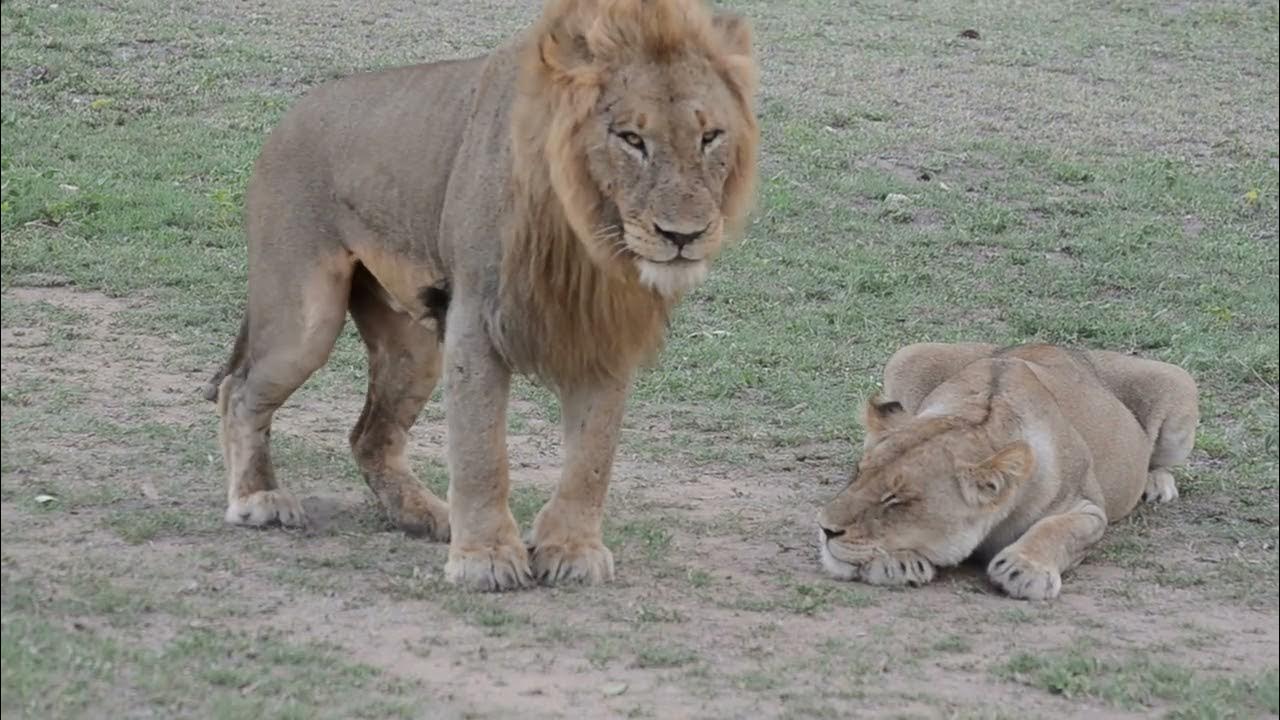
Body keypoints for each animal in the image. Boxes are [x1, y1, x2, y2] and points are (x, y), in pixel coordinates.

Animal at [203, 0, 759, 591]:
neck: (585, 232)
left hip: (414, 349)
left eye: (710, 137)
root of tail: (292, 114)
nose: (683, 236)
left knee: (369, 435)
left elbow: (593, 454)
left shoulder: (601, 329)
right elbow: (480, 449)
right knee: (239, 390)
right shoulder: (476, 320)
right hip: (305, 319)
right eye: (631, 139)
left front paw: (572, 549)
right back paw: (258, 498)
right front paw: (485, 557)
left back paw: (423, 513)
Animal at [817, 343, 1198, 600]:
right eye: (857, 474)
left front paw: (1025, 569)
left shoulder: (1088, 508)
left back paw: (1156, 484)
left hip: (1179, 383)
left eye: (896, 500)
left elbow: (1058, 529)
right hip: (908, 356)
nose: (825, 529)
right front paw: (898, 562)